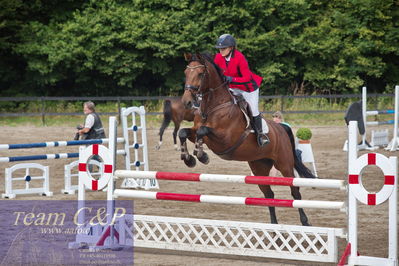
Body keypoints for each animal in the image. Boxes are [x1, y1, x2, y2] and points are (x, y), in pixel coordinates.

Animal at [180, 52, 318, 227]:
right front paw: (188, 158)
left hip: (284, 164)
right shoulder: (198, 133)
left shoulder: (225, 139)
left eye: (200, 73)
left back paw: (305, 222)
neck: (212, 107)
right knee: (269, 195)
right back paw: (273, 225)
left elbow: (202, 131)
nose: (187, 102)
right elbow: (183, 133)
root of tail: (281, 128)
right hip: (259, 166)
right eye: (185, 73)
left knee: (295, 192)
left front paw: (202, 156)